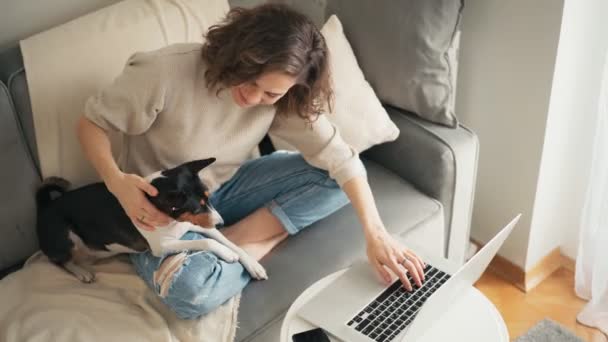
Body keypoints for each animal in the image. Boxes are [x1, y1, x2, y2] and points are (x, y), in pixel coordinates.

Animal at [35, 158, 268, 284]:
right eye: (196, 207)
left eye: (208, 198)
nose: (221, 223)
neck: (173, 218)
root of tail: (44, 207)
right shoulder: (162, 246)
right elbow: (208, 242)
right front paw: (227, 254)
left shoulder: (200, 225)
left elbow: (230, 243)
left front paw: (253, 265)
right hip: (65, 234)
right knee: (59, 261)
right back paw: (81, 272)